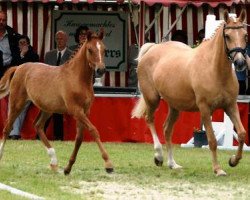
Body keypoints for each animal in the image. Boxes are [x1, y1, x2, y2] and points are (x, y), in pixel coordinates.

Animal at [0, 28, 113, 174]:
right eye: (90, 49)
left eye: (104, 49)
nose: (101, 69)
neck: (77, 78)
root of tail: (18, 67)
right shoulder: (76, 110)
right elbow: (93, 131)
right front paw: (108, 164)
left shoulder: (85, 111)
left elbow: (79, 138)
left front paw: (68, 168)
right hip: (17, 104)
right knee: (7, 128)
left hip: (47, 109)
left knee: (38, 126)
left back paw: (54, 162)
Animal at [133, 10, 248, 177]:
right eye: (227, 36)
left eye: (245, 35)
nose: (240, 63)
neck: (215, 69)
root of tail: (153, 49)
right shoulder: (205, 109)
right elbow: (212, 140)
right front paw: (218, 169)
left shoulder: (231, 106)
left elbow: (241, 134)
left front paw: (233, 160)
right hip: (152, 99)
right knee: (150, 119)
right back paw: (158, 156)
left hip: (175, 106)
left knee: (167, 129)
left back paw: (172, 164)